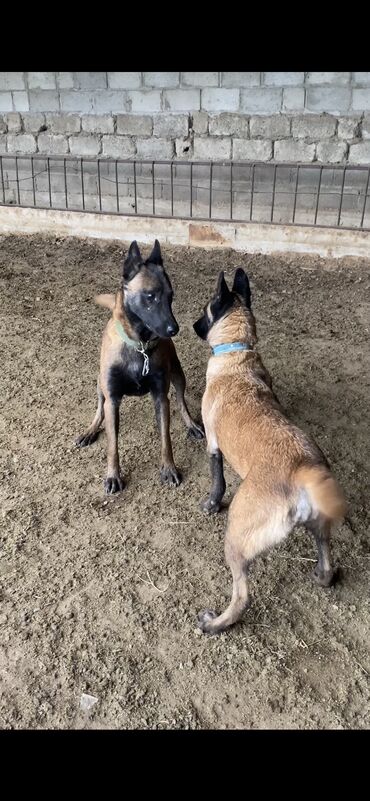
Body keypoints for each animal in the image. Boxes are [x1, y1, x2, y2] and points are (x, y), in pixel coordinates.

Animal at [76, 241, 204, 494]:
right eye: (150, 296)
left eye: (171, 296)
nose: (174, 329)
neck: (140, 347)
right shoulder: (113, 399)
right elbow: (112, 445)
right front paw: (113, 476)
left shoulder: (160, 397)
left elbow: (166, 439)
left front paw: (169, 468)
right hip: (99, 384)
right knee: (99, 408)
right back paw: (90, 430)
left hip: (178, 375)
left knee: (181, 400)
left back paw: (192, 424)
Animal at [194, 268, 346, 632]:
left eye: (205, 311)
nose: (191, 326)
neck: (236, 354)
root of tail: (303, 466)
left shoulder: (213, 445)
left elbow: (217, 482)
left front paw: (211, 504)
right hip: (319, 525)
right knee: (326, 556)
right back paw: (322, 575)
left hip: (236, 537)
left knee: (242, 597)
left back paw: (215, 623)